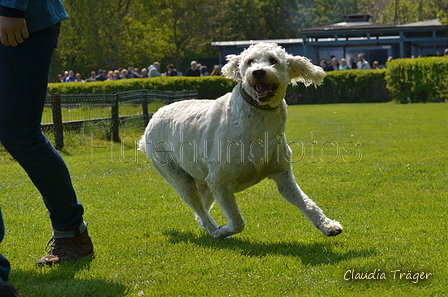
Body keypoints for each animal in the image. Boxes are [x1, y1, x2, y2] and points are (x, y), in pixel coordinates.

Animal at [140, 42, 344, 238]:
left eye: (273, 60)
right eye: (249, 61)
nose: (258, 72)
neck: (256, 121)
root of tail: (154, 117)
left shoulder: (283, 177)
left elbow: (307, 203)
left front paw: (327, 225)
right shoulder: (219, 182)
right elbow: (237, 222)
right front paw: (223, 230)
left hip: (202, 181)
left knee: (201, 212)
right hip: (179, 178)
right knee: (200, 211)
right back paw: (215, 231)